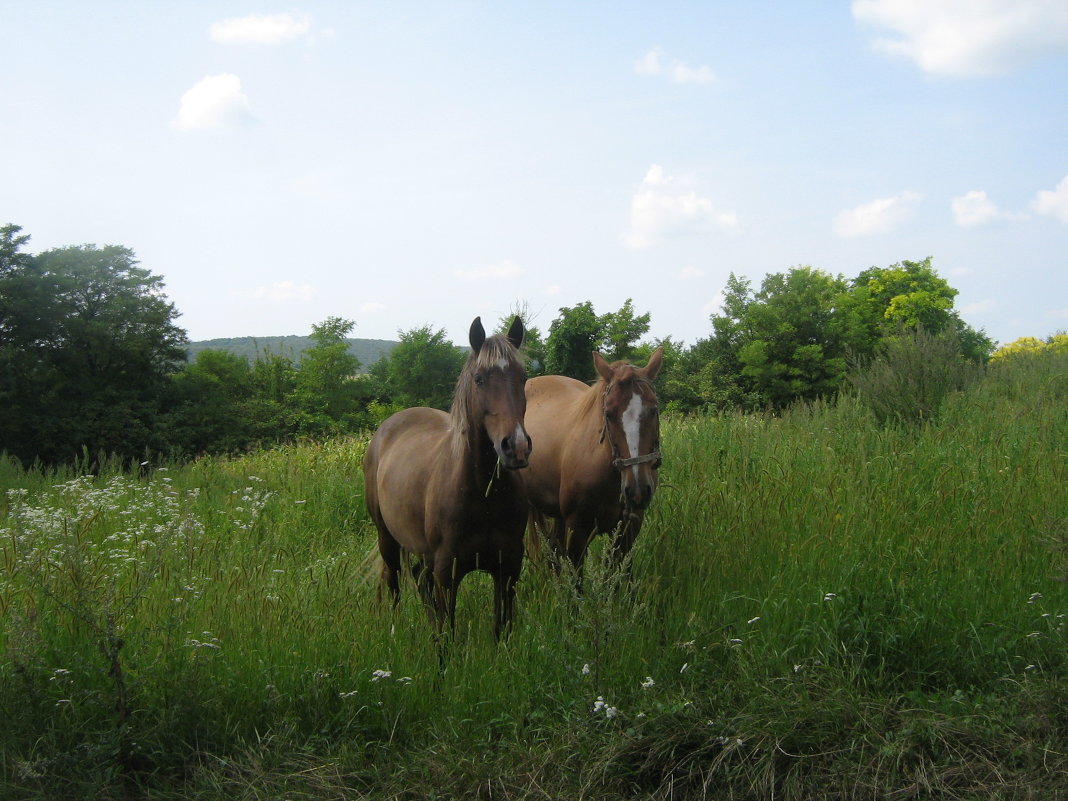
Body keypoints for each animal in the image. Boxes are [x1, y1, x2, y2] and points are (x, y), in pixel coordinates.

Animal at [365, 316, 531, 645]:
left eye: (523, 378)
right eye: (479, 379)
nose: (515, 447)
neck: (483, 495)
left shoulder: (507, 568)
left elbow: (501, 630)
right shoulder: (447, 573)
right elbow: (447, 638)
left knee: (419, 579)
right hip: (387, 538)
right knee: (394, 584)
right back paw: (393, 633)